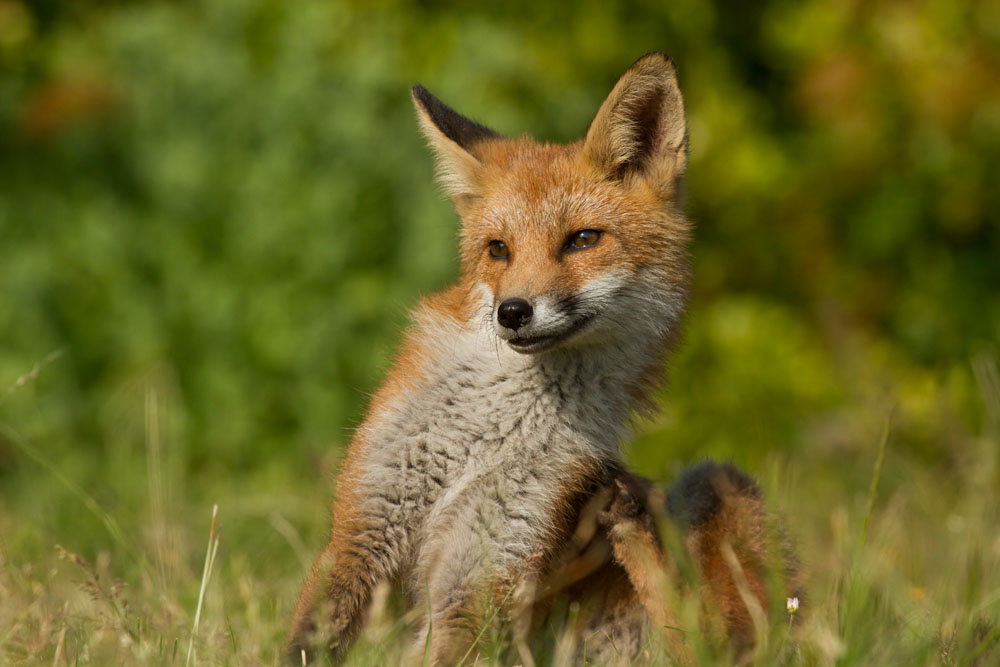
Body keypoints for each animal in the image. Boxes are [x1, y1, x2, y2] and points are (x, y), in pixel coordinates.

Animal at [287, 53, 795, 665]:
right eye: (498, 250)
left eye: (582, 240)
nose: (513, 312)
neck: (486, 433)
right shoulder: (363, 530)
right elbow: (303, 641)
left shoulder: (484, 569)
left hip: (718, 482)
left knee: (710, 637)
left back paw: (632, 527)